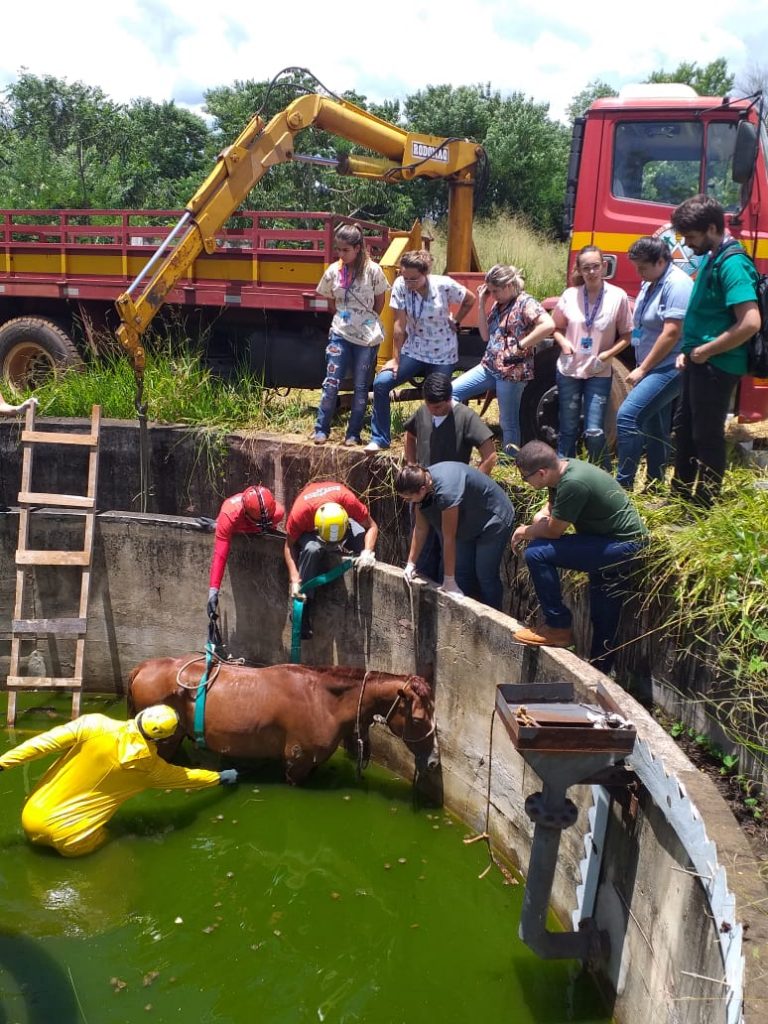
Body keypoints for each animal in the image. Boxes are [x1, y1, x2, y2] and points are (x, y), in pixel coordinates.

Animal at [126, 655, 438, 782]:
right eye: (418, 718)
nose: (434, 761)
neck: (325, 701)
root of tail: (144, 667)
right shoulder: (297, 764)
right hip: (164, 743)